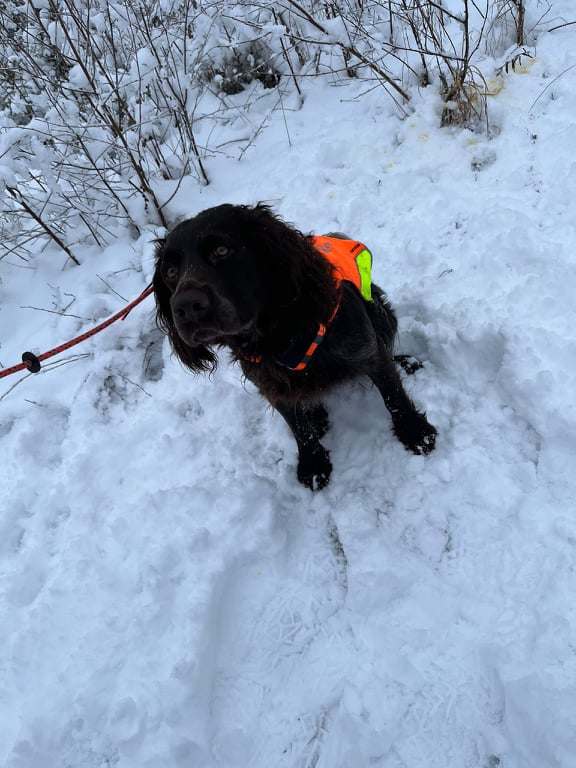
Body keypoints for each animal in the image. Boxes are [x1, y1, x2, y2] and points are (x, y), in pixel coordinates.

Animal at [153, 203, 437, 489]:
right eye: (170, 273)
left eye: (221, 250)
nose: (186, 308)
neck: (277, 336)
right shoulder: (269, 384)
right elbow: (297, 426)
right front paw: (313, 463)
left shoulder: (367, 349)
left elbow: (393, 394)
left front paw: (415, 433)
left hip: (381, 312)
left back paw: (406, 362)